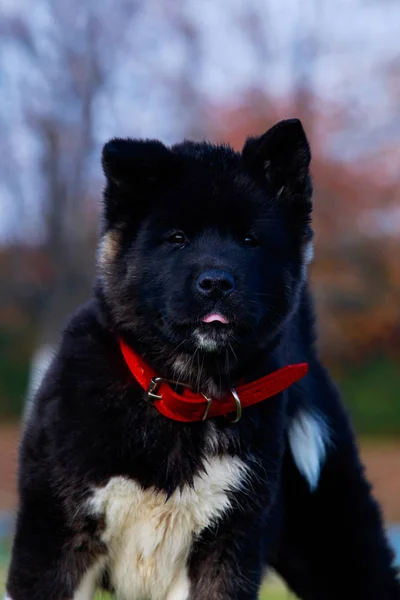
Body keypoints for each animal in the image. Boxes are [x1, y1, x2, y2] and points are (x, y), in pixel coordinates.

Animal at [6, 119, 400, 596]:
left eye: (249, 240)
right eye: (177, 239)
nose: (216, 283)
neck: (185, 394)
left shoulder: (227, 549)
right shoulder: (56, 543)